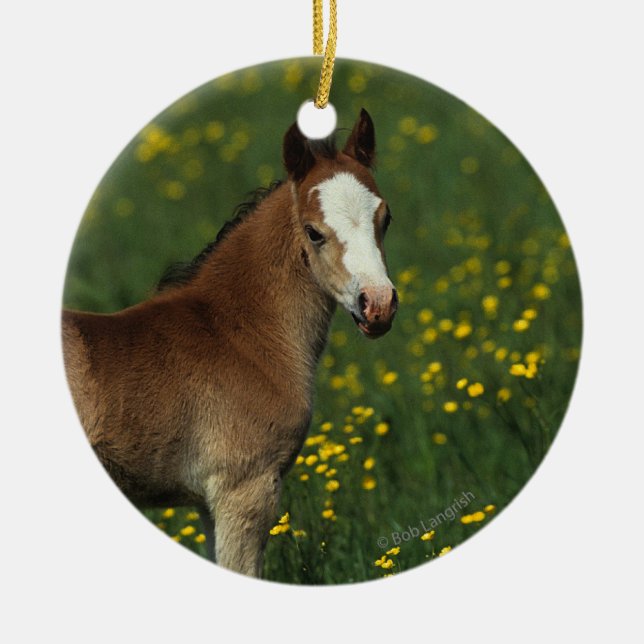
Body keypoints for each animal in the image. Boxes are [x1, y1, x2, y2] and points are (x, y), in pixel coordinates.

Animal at [62, 109, 398, 578]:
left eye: (386, 218)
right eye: (313, 232)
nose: (378, 305)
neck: (238, 336)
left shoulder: (208, 502)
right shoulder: (244, 489)